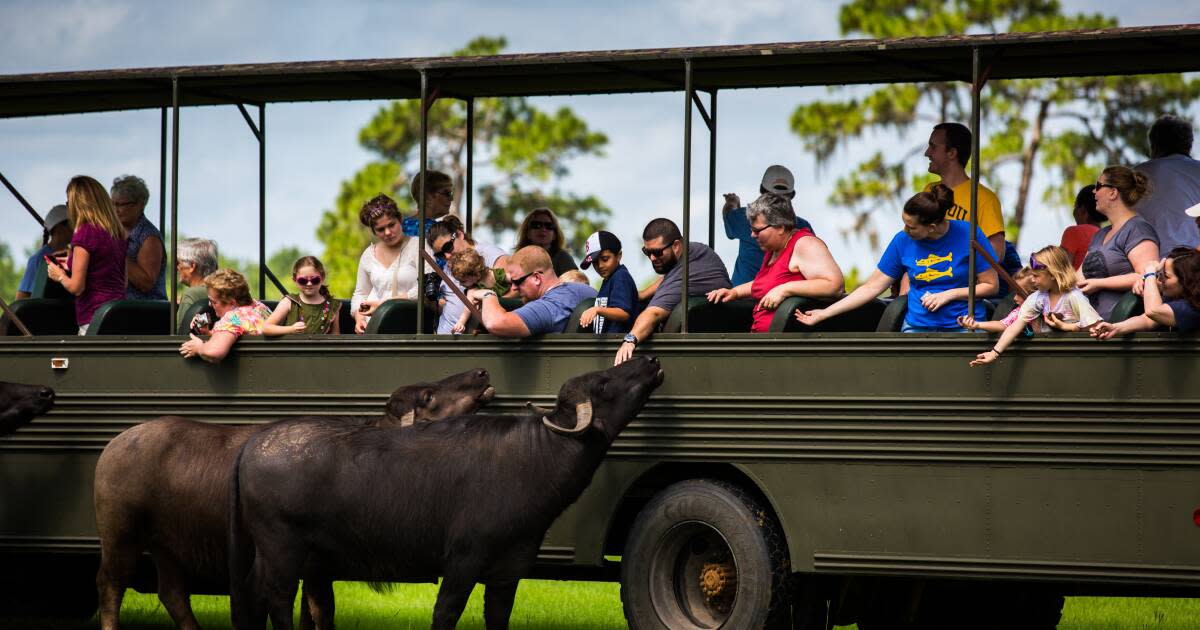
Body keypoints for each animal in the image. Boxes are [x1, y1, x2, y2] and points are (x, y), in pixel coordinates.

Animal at [88, 369, 492, 628]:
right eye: (428, 397)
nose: (481, 373)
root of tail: (112, 446)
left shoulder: (316, 569)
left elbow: (317, 614)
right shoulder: (309, 566)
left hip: (168, 545)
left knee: (172, 593)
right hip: (121, 534)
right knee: (110, 585)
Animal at [226, 355, 667, 624]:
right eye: (604, 383)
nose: (650, 360)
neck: (535, 454)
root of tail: (252, 445)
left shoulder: (507, 574)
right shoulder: (462, 562)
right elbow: (446, 613)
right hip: (282, 552)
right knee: (277, 601)